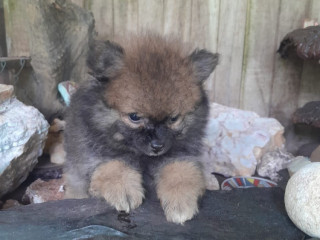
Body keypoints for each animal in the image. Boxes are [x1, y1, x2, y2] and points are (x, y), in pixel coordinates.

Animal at [64, 32, 220, 224]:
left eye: (173, 118)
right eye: (134, 117)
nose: (158, 145)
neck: (142, 157)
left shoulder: (181, 154)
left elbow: (181, 172)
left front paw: (180, 201)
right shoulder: (97, 156)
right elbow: (114, 166)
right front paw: (122, 189)